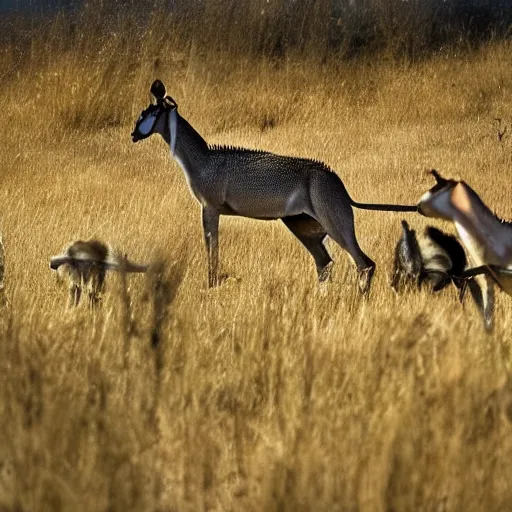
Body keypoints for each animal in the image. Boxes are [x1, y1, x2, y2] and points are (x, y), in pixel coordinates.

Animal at [130, 78, 418, 294]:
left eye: (149, 112)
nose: (133, 134)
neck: (203, 159)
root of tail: (340, 186)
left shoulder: (209, 208)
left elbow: (212, 250)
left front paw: (210, 287)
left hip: (336, 224)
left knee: (364, 263)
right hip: (301, 225)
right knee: (325, 263)